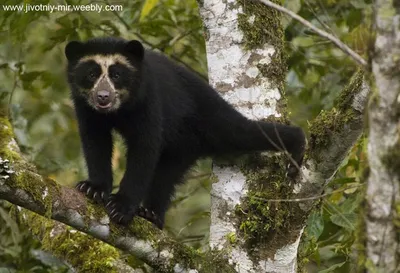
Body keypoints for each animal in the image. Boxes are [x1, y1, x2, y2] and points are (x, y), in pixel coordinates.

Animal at [65, 36, 306, 227]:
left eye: (116, 75)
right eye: (91, 74)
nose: (103, 96)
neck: (119, 109)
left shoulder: (149, 100)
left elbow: (144, 148)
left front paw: (121, 207)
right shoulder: (85, 107)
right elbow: (95, 141)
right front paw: (93, 188)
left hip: (208, 116)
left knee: (242, 132)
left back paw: (296, 144)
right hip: (183, 147)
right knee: (165, 176)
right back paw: (152, 214)